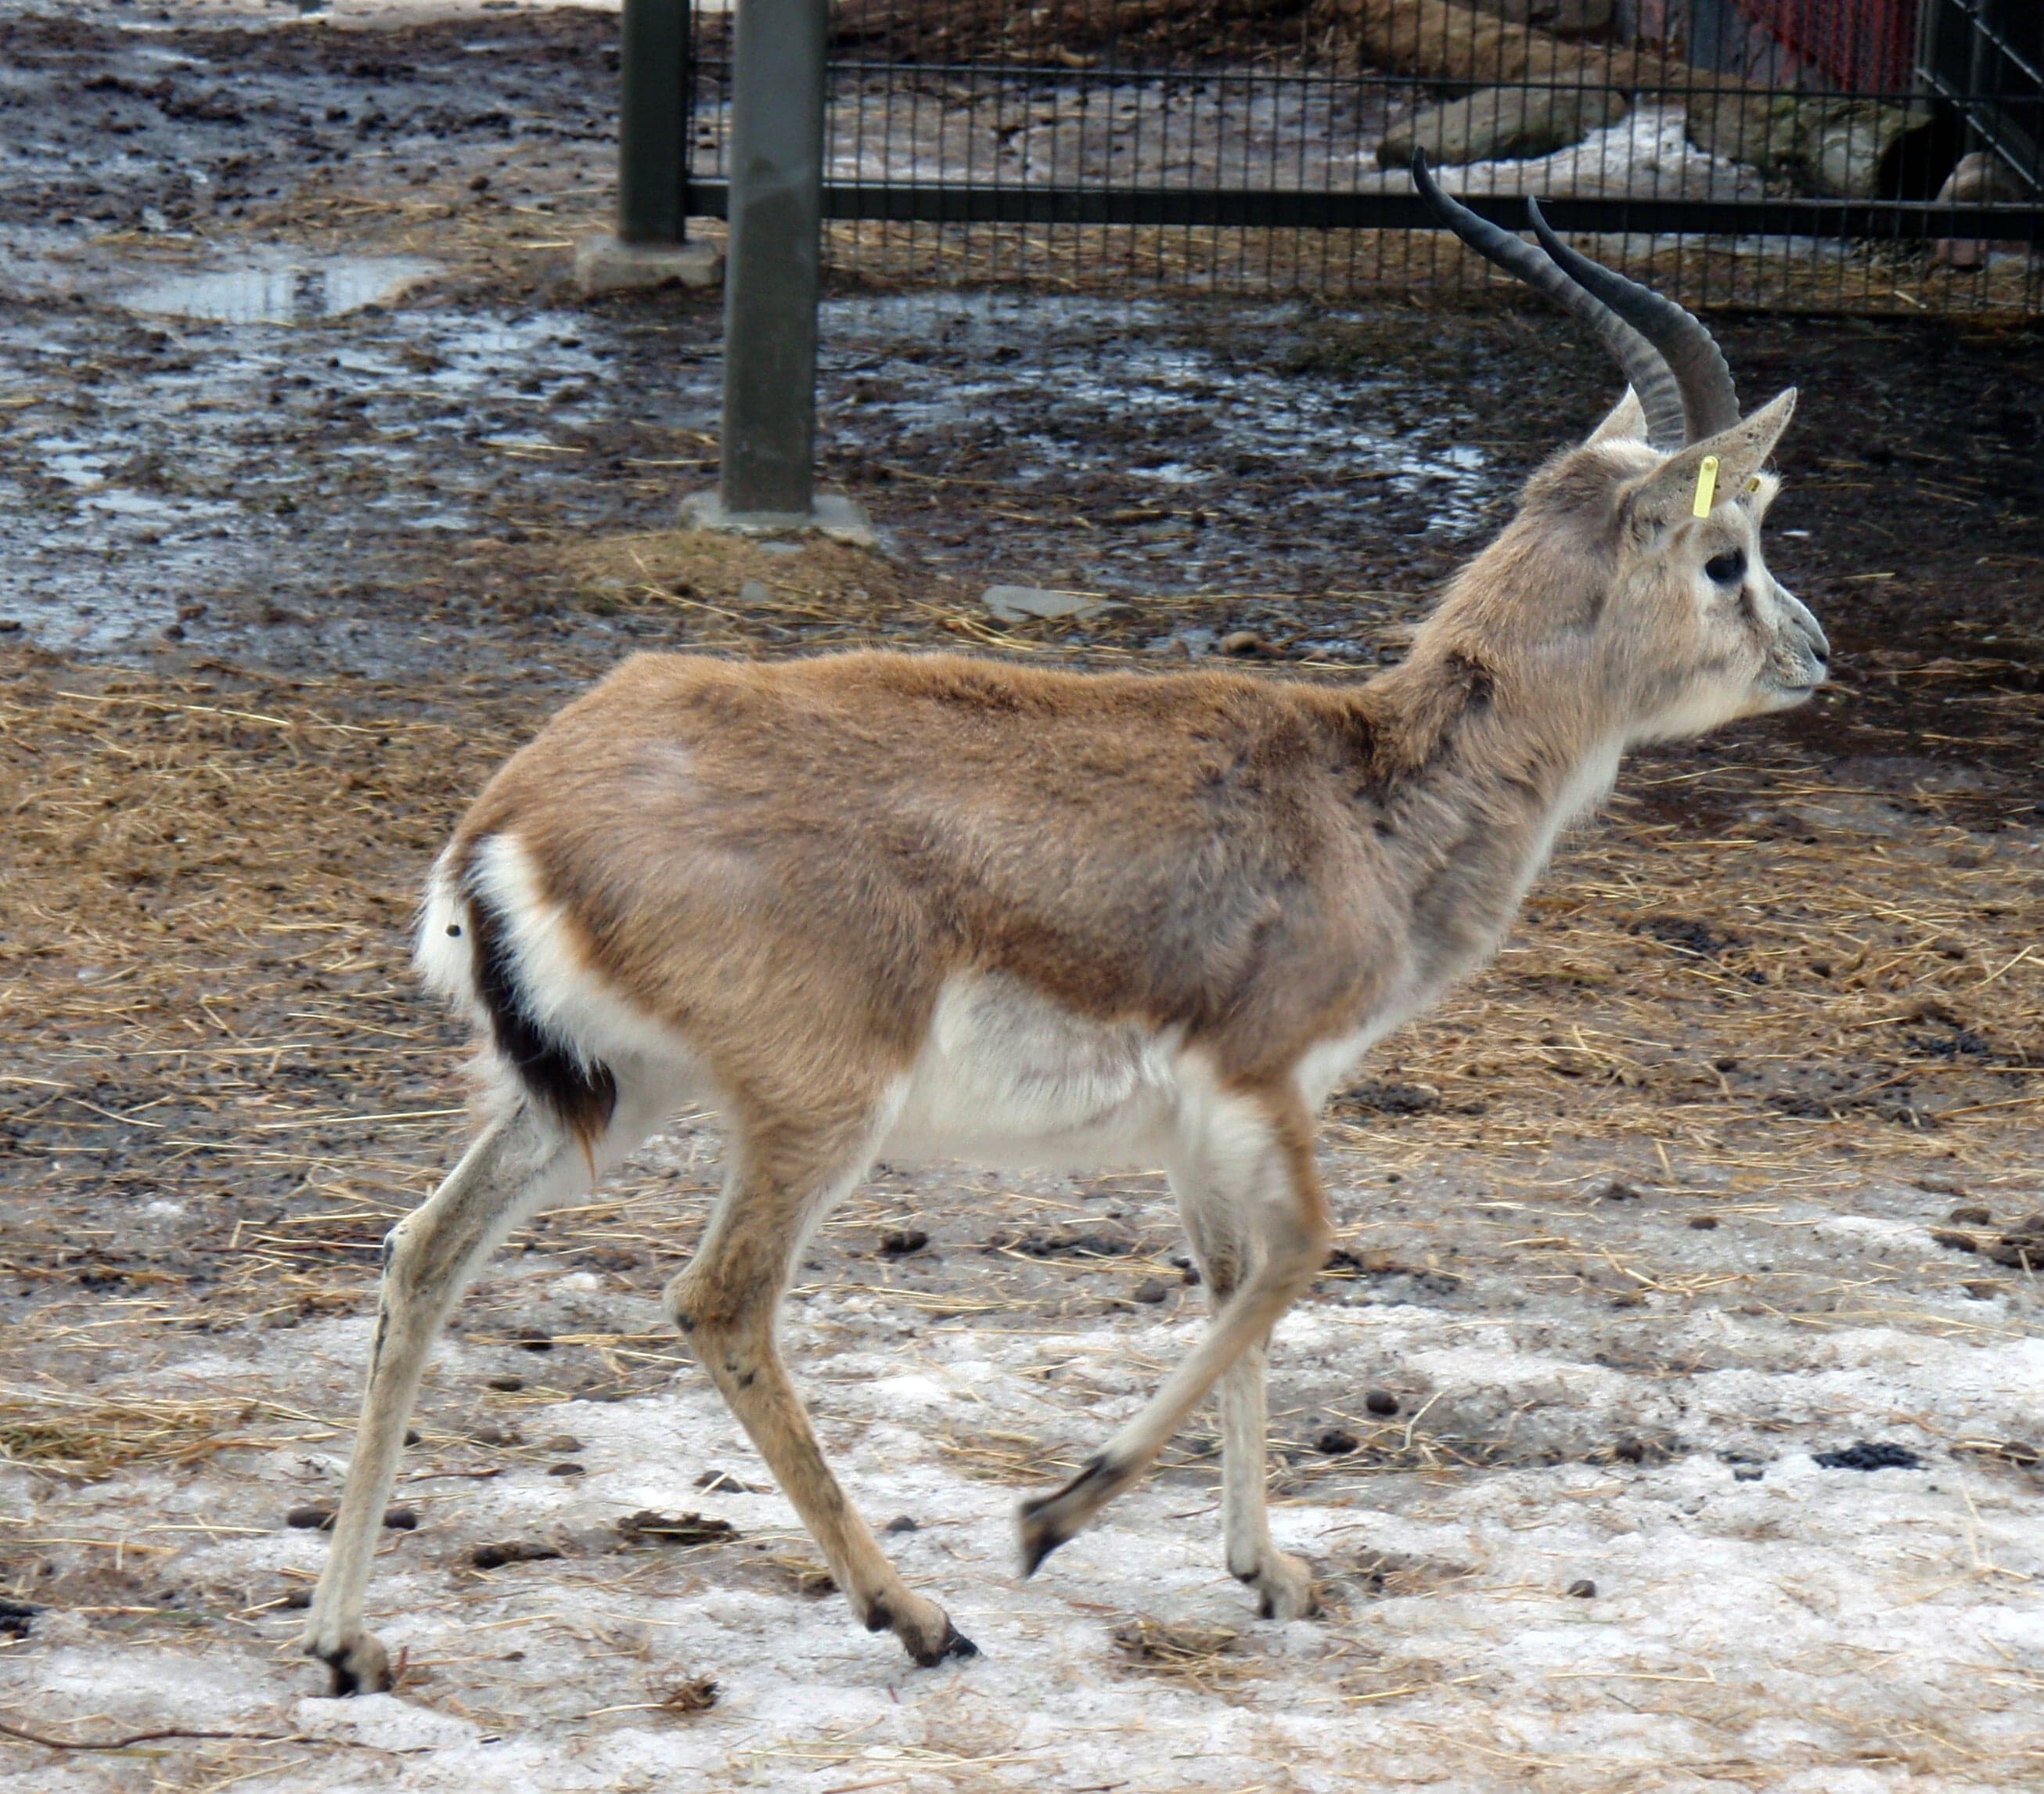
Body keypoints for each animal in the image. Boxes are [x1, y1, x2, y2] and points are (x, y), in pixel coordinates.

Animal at [303, 154, 1829, 1693]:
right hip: (809, 1110)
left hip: (613, 1089)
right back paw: (916, 1612)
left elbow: (1231, 1281)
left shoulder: (1200, 1123)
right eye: (1728, 552)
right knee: (717, 1301)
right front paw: (1053, 1516)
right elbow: (1300, 1255)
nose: (1813, 655)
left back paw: (345, 1640)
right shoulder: (1262, 1075)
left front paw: (1267, 1570)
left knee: (422, 1252)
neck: (1366, 797)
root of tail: (514, 812)